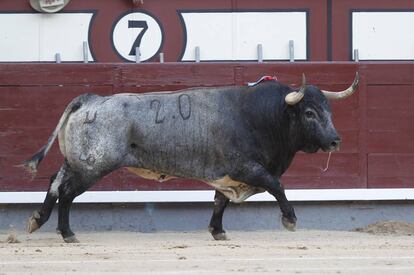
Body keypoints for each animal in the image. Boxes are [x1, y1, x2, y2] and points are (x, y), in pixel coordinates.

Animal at [22, 72, 360, 243]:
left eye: (329, 110)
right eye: (309, 113)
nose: (335, 141)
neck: (263, 116)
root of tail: (90, 99)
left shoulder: (227, 175)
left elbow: (220, 201)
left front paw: (217, 231)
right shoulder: (246, 167)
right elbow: (276, 185)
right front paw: (290, 220)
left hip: (77, 162)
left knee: (54, 183)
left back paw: (37, 220)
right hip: (93, 166)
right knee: (67, 192)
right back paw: (67, 234)